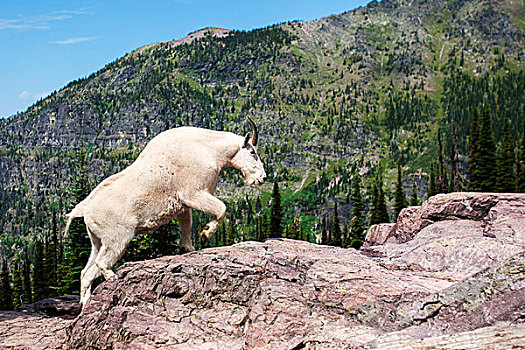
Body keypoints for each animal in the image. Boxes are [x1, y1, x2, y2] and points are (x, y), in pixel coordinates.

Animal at [65, 119, 266, 308]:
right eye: (253, 152)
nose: (262, 178)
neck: (211, 150)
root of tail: (85, 210)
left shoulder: (183, 205)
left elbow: (187, 226)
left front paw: (188, 249)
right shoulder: (194, 193)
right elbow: (221, 209)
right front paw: (205, 233)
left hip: (97, 241)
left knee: (86, 272)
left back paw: (85, 304)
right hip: (117, 238)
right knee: (101, 264)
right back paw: (113, 279)